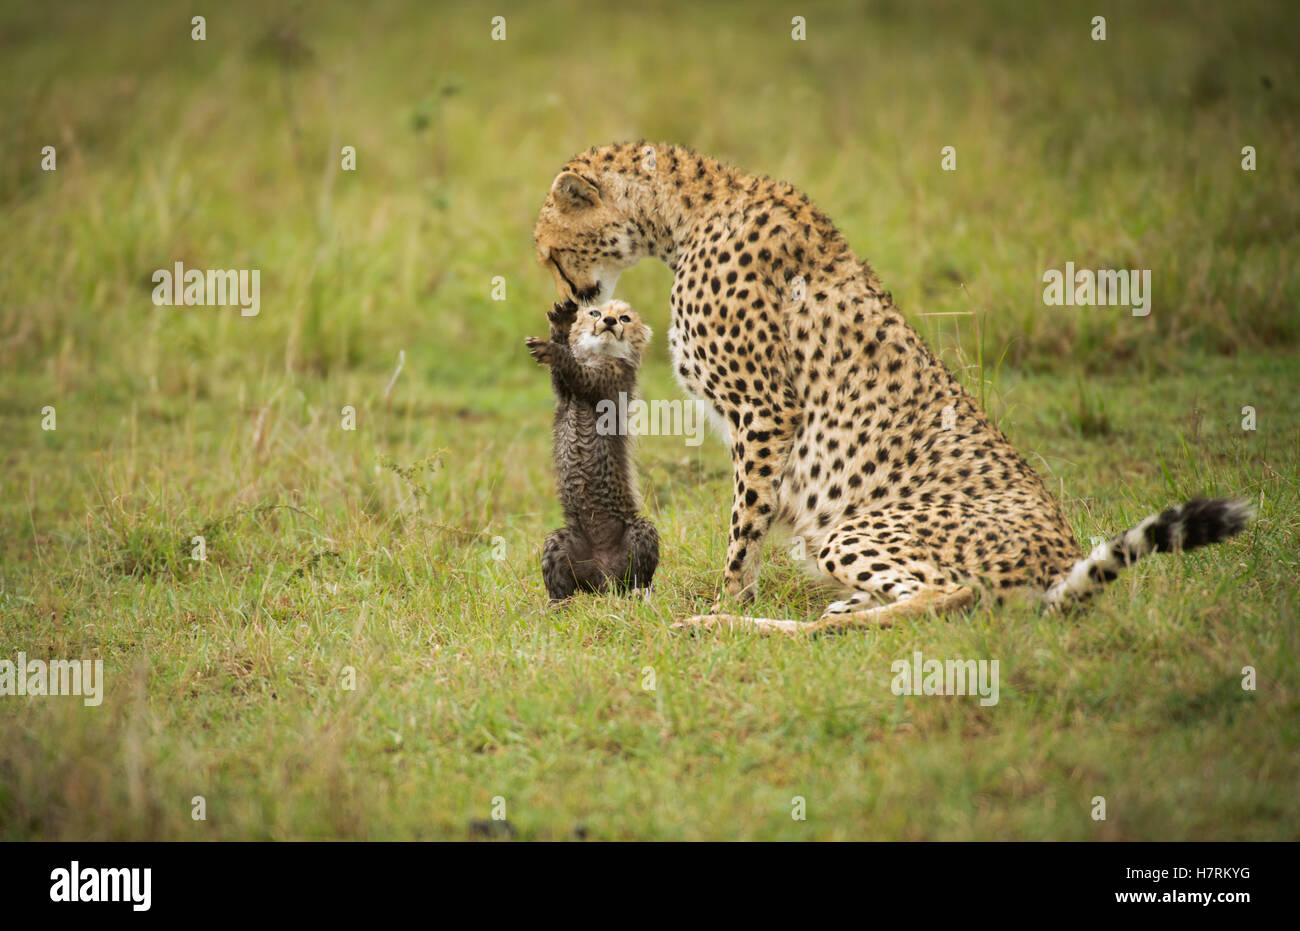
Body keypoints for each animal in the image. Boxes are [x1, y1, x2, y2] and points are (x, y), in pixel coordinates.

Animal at [530, 139, 1248, 631]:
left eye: (550, 251)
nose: (575, 299)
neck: (687, 215)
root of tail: (1060, 559)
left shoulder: (766, 410)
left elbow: (744, 527)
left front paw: (726, 597)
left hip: (855, 529)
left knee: (948, 596)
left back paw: (734, 624)